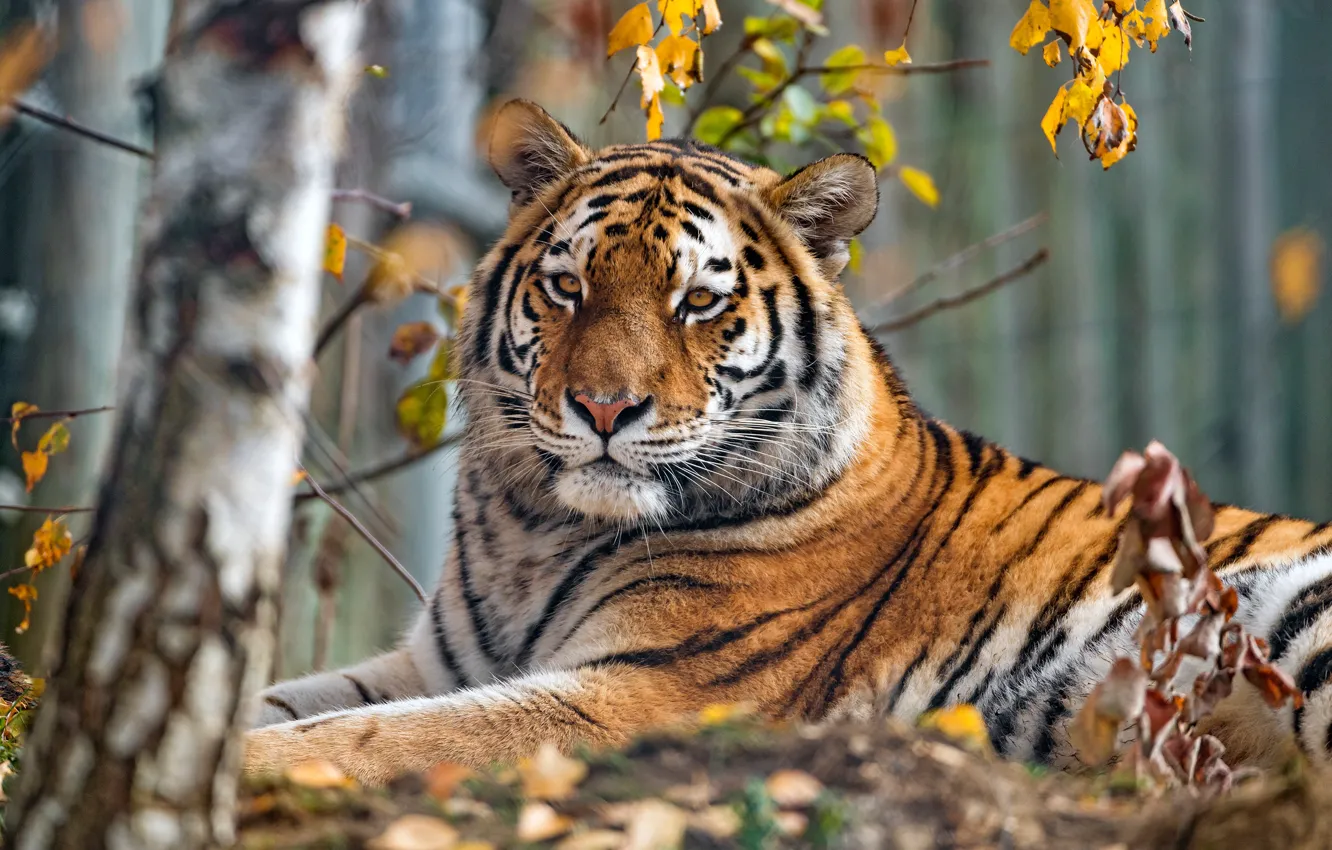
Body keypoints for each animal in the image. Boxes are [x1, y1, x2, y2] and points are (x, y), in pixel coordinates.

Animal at [244, 99, 1332, 785]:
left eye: (697, 303)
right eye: (568, 286)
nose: (603, 408)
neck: (535, 526)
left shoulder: (641, 691)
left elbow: (367, 739)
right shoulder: (437, 663)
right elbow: (287, 699)